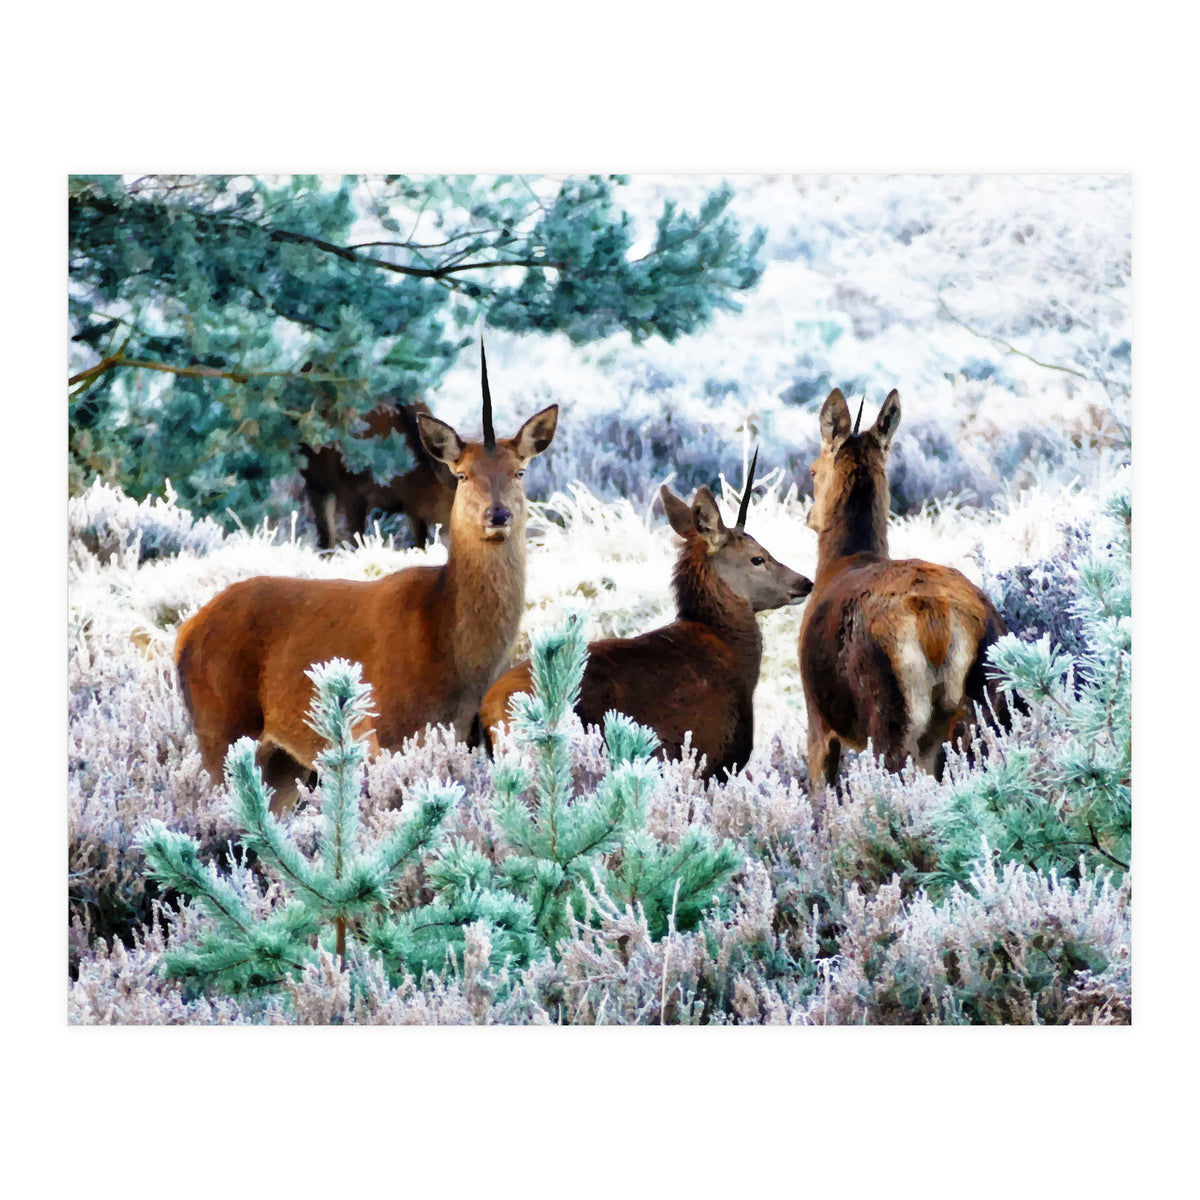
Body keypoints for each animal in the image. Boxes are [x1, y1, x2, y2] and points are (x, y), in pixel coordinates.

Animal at [299, 399, 457, 550]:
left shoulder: (413, 508)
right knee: (325, 533)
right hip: (316, 480)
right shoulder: (350, 492)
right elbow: (357, 542)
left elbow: (420, 544)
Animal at [798, 388, 1009, 798]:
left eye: (813, 470)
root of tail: (937, 619)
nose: (809, 516)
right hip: (990, 700)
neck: (839, 563)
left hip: (889, 711)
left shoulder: (817, 717)